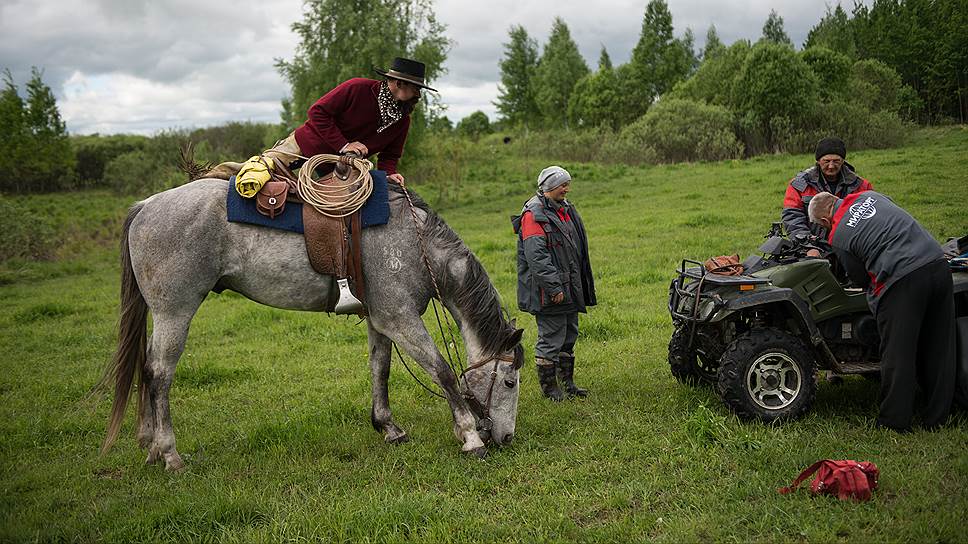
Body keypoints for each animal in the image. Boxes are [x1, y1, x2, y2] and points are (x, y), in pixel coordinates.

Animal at [98, 181, 520, 470]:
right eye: (510, 382)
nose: (506, 437)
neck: (412, 243)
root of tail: (146, 206)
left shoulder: (381, 320)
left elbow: (380, 369)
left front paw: (388, 427)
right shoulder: (400, 318)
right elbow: (443, 372)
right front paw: (469, 436)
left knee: (146, 369)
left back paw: (151, 446)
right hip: (175, 312)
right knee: (159, 374)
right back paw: (169, 454)